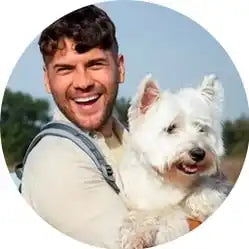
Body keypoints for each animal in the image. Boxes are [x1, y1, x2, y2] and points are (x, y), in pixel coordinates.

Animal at [117, 74, 232, 249]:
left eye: (201, 128)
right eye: (171, 128)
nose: (198, 153)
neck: (170, 179)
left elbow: (207, 188)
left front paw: (201, 201)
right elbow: (151, 213)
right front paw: (135, 234)